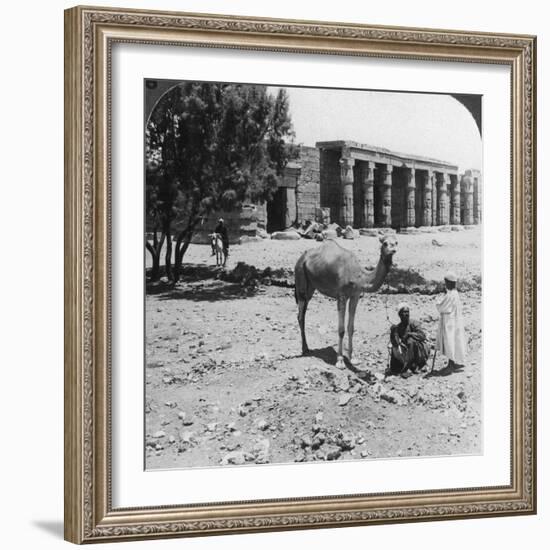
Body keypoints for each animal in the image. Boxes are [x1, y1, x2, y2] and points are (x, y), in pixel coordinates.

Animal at [296, 234, 398, 370]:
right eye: (385, 243)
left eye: (396, 242)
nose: (393, 250)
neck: (359, 277)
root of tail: (303, 257)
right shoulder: (342, 296)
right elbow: (341, 329)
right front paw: (340, 361)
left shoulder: (355, 296)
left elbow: (351, 327)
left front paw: (352, 358)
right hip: (300, 278)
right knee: (300, 315)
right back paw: (305, 348)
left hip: (311, 286)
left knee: (303, 312)